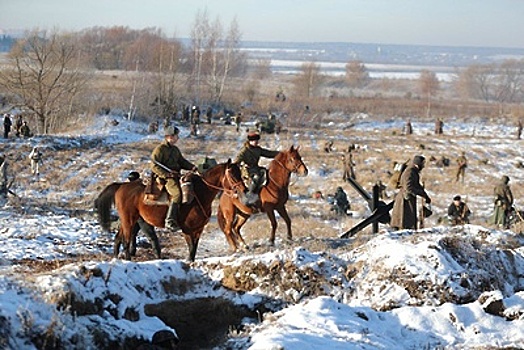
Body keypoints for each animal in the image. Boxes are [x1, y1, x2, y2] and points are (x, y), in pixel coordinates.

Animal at [96, 160, 246, 262]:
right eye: (231, 174)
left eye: (240, 172)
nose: (244, 189)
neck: (198, 195)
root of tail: (122, 186)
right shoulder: (187, 229)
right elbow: (191, 249)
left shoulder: (198, 229)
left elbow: (194, 250)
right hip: (129, 220)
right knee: (126, 241)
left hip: (127, 221)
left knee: (118, 238)